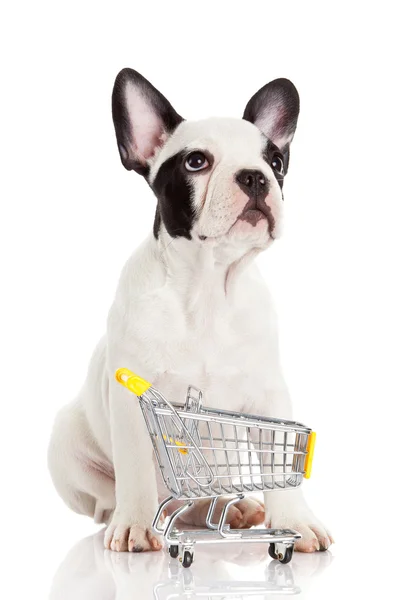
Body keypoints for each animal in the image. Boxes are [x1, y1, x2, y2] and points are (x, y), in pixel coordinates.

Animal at [48, 69, 332, 552]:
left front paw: (295, 521)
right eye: (196, 162)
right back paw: (130, 518)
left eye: (276, 162)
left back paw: (230, 508)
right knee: (110, 498)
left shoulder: (269, 396)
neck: (209, 287)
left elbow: (283, 468)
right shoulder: (132, 401)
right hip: (66, 444)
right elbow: (136, 469)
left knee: (201, 496)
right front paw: (137, 525)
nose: (255, 177)